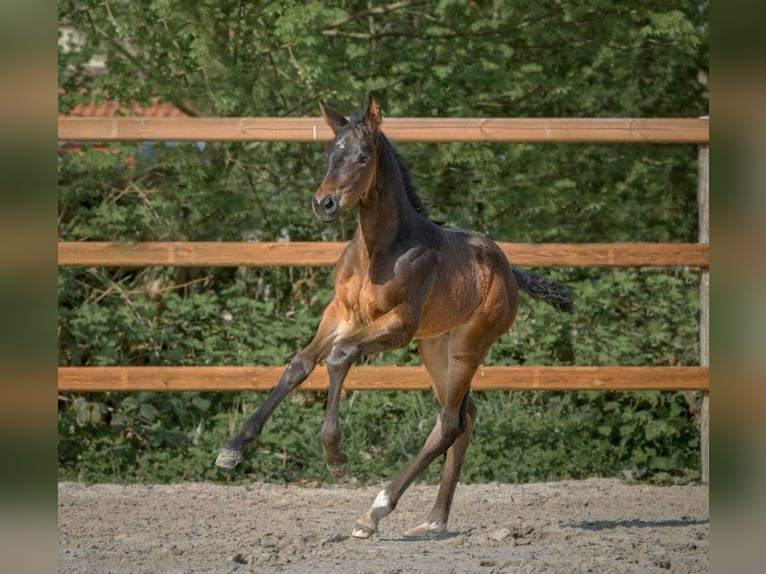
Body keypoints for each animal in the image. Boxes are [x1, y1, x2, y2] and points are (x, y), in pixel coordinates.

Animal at [216, 96, 573, 539]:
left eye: (362, 156)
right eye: (328, 154)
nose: (323, 203)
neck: (379, 248)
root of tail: (507, 270)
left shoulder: (398, 325)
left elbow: (339, 356)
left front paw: (335, 457)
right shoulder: (342, 313)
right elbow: (300, 364)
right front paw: (232, 448)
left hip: (467, 347)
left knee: (451, 422)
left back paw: (376, 511)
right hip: (435, 347)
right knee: (462, 418)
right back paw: (434, 519)